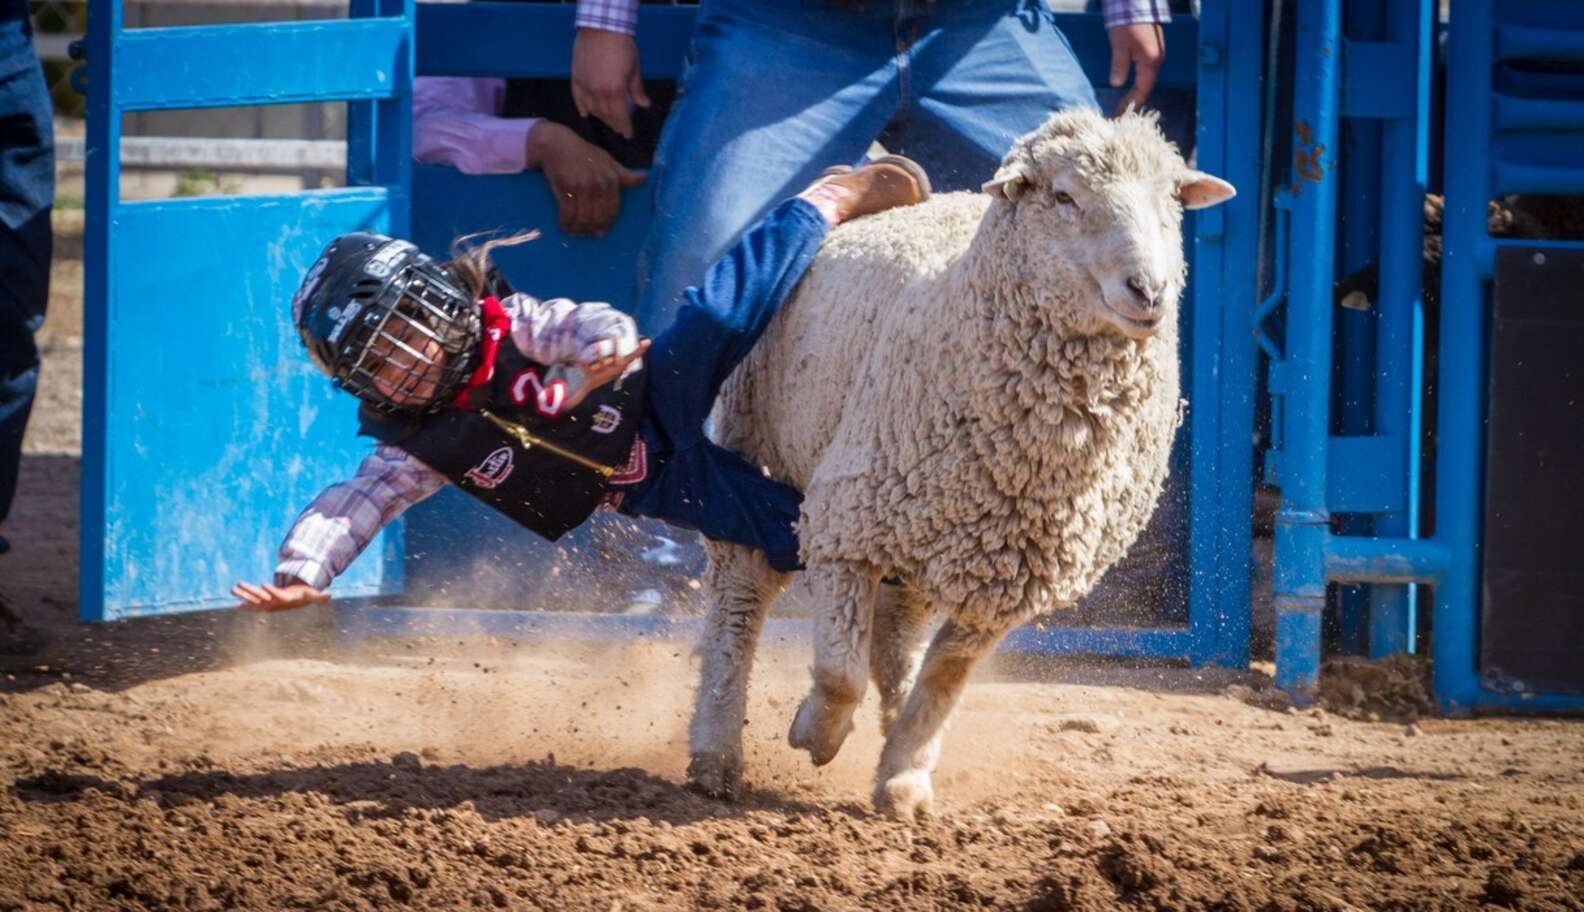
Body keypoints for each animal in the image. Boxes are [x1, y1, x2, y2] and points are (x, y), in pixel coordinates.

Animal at [684, 109, 1236, 820]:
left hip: (936, 530)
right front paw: (817, 733)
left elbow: (943, 680)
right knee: (741, 600)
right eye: (1064, 197)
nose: (1149, 290)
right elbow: (838, 672)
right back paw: (716, 753)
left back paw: (891, 733)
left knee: (897, 640)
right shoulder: (843, 521)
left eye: (1172, 201)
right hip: (762, 454)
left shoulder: (1008, 577)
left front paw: (904, 776)